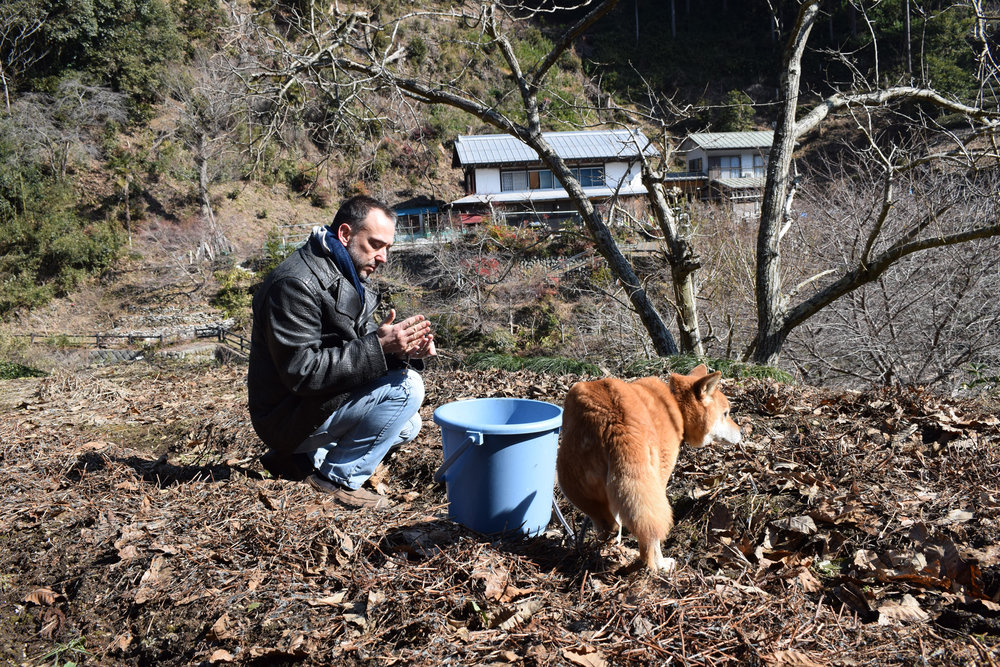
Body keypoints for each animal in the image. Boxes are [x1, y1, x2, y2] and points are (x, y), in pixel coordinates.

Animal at [560, 368, 740, 572]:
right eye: (726, 413)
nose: (741, 432)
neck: (674, 403)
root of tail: (614, 421)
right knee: (650, 538)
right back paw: (658, 566)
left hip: (587, 497)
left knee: (611, 529)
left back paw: (611, 558)